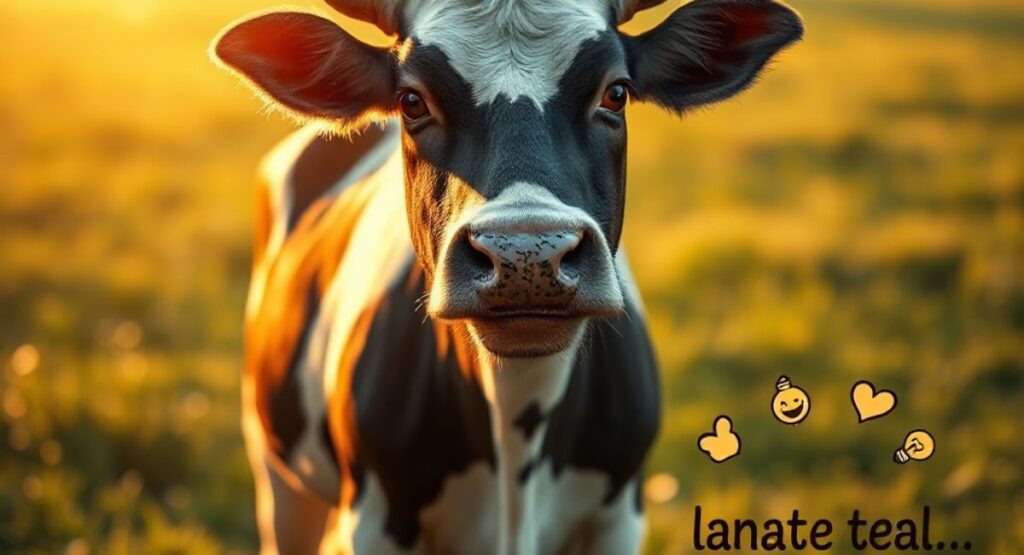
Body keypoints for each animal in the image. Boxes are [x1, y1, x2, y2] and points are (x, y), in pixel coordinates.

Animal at [211, 0, 802, 553]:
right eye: (412, 101)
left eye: (616, 93)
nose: (527, 256)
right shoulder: (375, 520)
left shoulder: (619, 517)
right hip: (276, 475)